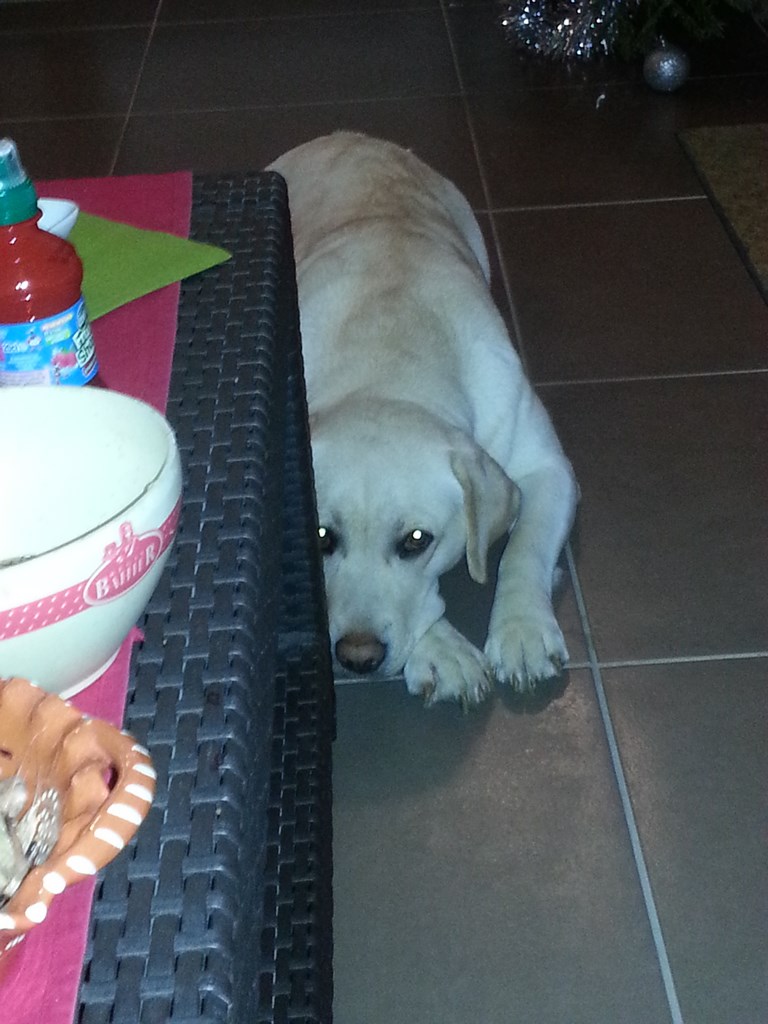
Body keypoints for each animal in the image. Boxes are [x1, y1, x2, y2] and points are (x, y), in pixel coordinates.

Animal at [270, 133, 578, 706]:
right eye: (322, 537)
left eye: (416, 541)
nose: (357, 658)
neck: (389, 355)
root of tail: (348, 136)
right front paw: (443, 650)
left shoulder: (547, 467)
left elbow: (523, 548)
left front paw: (522, 630)